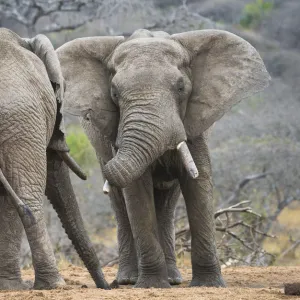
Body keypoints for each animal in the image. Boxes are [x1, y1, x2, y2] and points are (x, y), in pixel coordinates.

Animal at [56, 28, 270, 288]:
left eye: (180, 88)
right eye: (114, 93)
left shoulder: (194, 126)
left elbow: (199, 182)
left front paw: (208, 284)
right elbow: (136, 190)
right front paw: (151, 285)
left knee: (167, 203)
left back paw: (173, 279)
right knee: (121, 204)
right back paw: (130, 279)